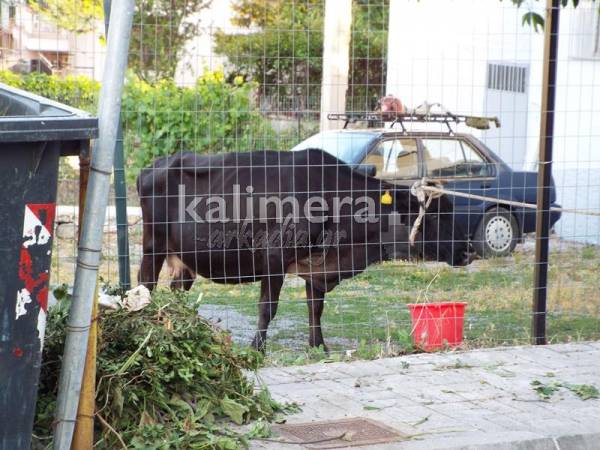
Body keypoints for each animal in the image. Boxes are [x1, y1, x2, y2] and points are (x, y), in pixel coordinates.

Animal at [138, 149, 472, 352]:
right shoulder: (274, 257)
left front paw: (318, 346)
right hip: (153, 246)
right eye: (436, 215)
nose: (468, 251)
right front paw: (257, 348)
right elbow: (267, 308)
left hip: (184, 260)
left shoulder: (319, 266)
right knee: (146, 286)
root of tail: (154, 166)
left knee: (177, 293)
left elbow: (315, 307)